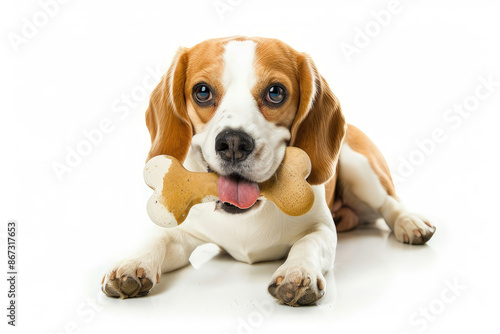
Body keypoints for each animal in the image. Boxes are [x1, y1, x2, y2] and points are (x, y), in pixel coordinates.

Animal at [102, 36, 438, 306]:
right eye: (202, 91)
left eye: (275, 92)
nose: (234, 142)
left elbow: (307, 244)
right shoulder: (186, 233)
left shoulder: (322, 230)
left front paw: (297, 272)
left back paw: (410, 224)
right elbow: (158, 239)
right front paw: (133, 263)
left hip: (361, 169)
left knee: (390, 203)